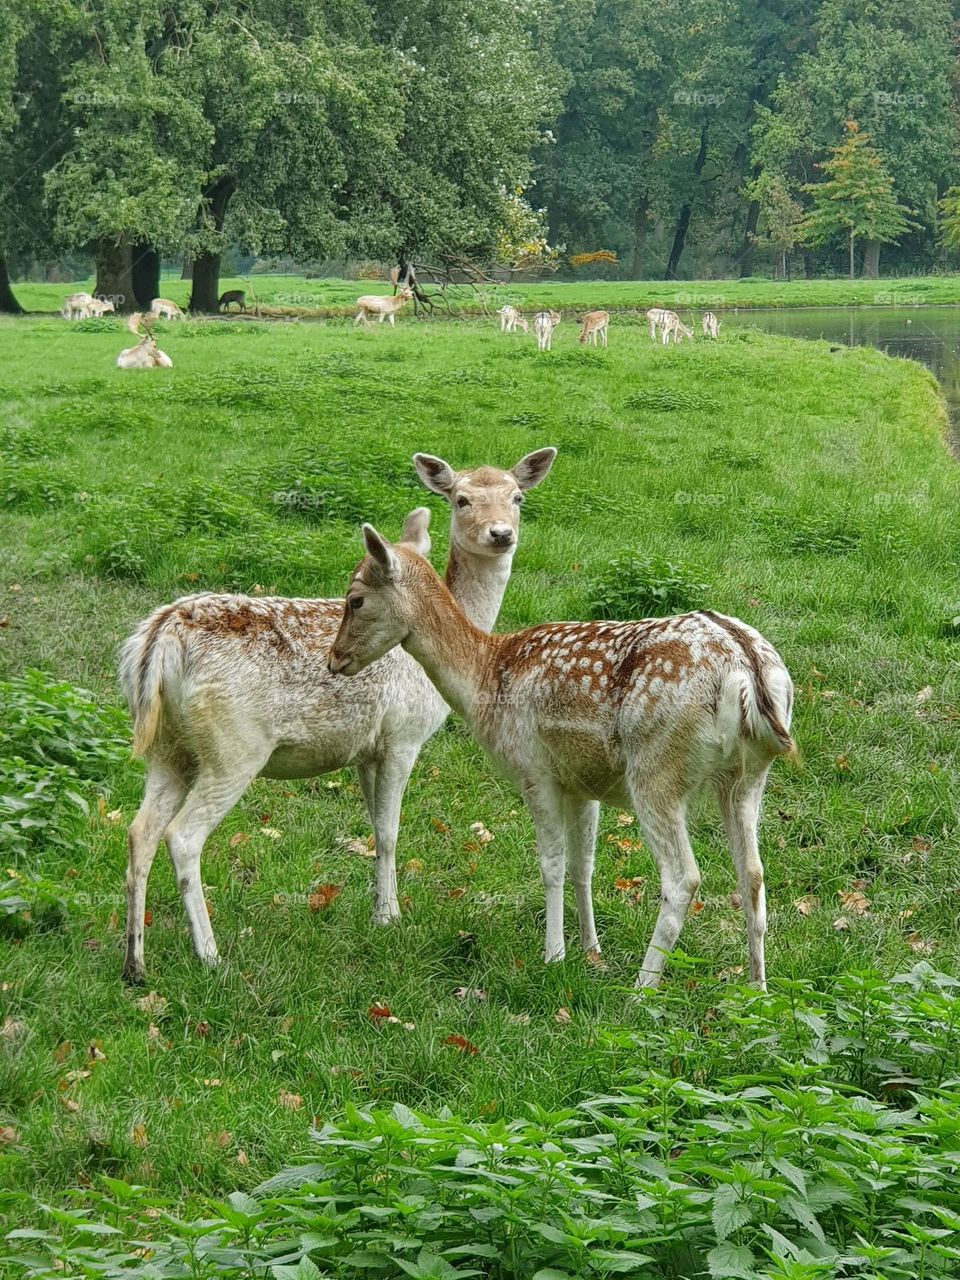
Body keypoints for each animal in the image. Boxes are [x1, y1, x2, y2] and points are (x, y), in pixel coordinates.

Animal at [119, 448, 555, 977]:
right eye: (462, 498)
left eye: (517, 496)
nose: (500, 533)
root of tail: (158, 639)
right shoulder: (403, 736)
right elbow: (389, 831)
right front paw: (389, 917)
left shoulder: (365, 750)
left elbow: (372, 825)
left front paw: (380, 908)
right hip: (234, 747)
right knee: (182, 836)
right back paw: (210, 954)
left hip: (167, 747)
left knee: (140, 831)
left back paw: (135, 963)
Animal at [330, 529, 798, 988]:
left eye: (355, 599)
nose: (335, 659)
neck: (485, 680)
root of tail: (745, 667)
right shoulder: (583, 785)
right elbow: (582, 865)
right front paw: (591, 951)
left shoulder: (534, 771)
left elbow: (551, 865)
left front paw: (553, 955)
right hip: (748, 778)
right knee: (753, 875)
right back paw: (757, 989)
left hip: (655, 770)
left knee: (684, 878)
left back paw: (641, 989)